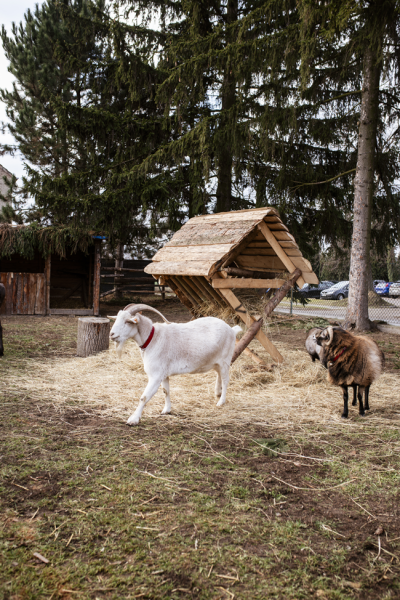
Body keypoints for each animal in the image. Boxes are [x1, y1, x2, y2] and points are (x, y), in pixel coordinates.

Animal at [108, 304, 242, 426]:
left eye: (127, 321)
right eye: (117, 318)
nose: (112, 334)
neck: (152, 338)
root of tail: (232, 330)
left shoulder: (155, 376)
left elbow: (144, 397)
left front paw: (133, 419)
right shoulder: (163, 374)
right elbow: (165, 391)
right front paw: (166, 410)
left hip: (225, 360)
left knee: (226, 380)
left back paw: (221, 401)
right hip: (217, 362)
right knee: (219, 375)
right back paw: (217, 393)